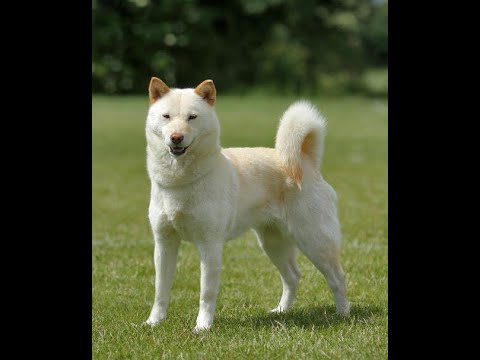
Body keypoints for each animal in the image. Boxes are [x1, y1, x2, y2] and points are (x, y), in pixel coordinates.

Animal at [142, 79, 348, 332]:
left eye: (192, 117)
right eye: (166, 116)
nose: (176, 137)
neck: (180, 182)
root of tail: (307, 162)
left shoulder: (210, 245)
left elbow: (206, 293)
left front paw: (202, 327)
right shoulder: (164, 243)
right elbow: (160, 290)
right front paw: (154, 322)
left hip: (314, 240)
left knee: (337, 277)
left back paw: (343, 314)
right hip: (273, 243)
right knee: (293, 276)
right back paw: (281, 311)